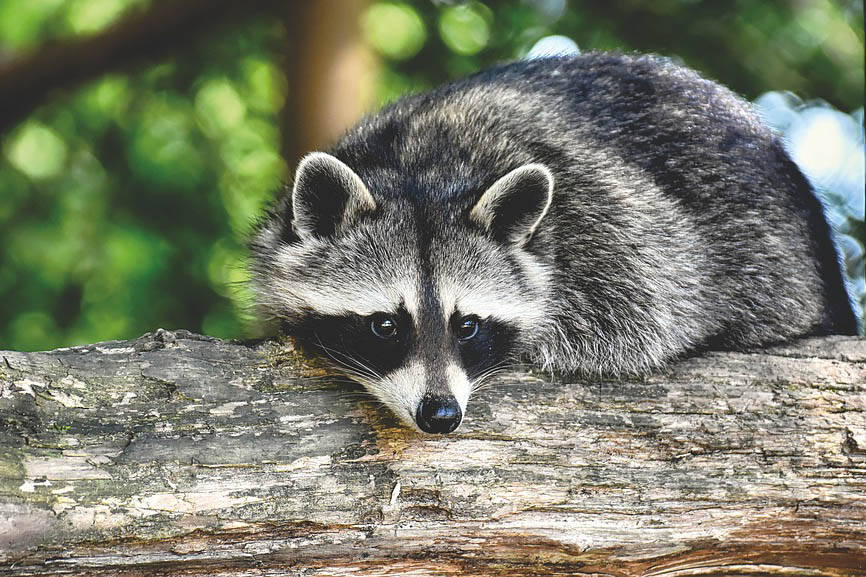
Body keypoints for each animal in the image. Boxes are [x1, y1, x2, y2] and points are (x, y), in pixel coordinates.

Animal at [246, 53, 852, 432]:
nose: (441, 416)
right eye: (385, 325)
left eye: (468, 325)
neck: (417, 166)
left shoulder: (614, 225)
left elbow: (647, 316)